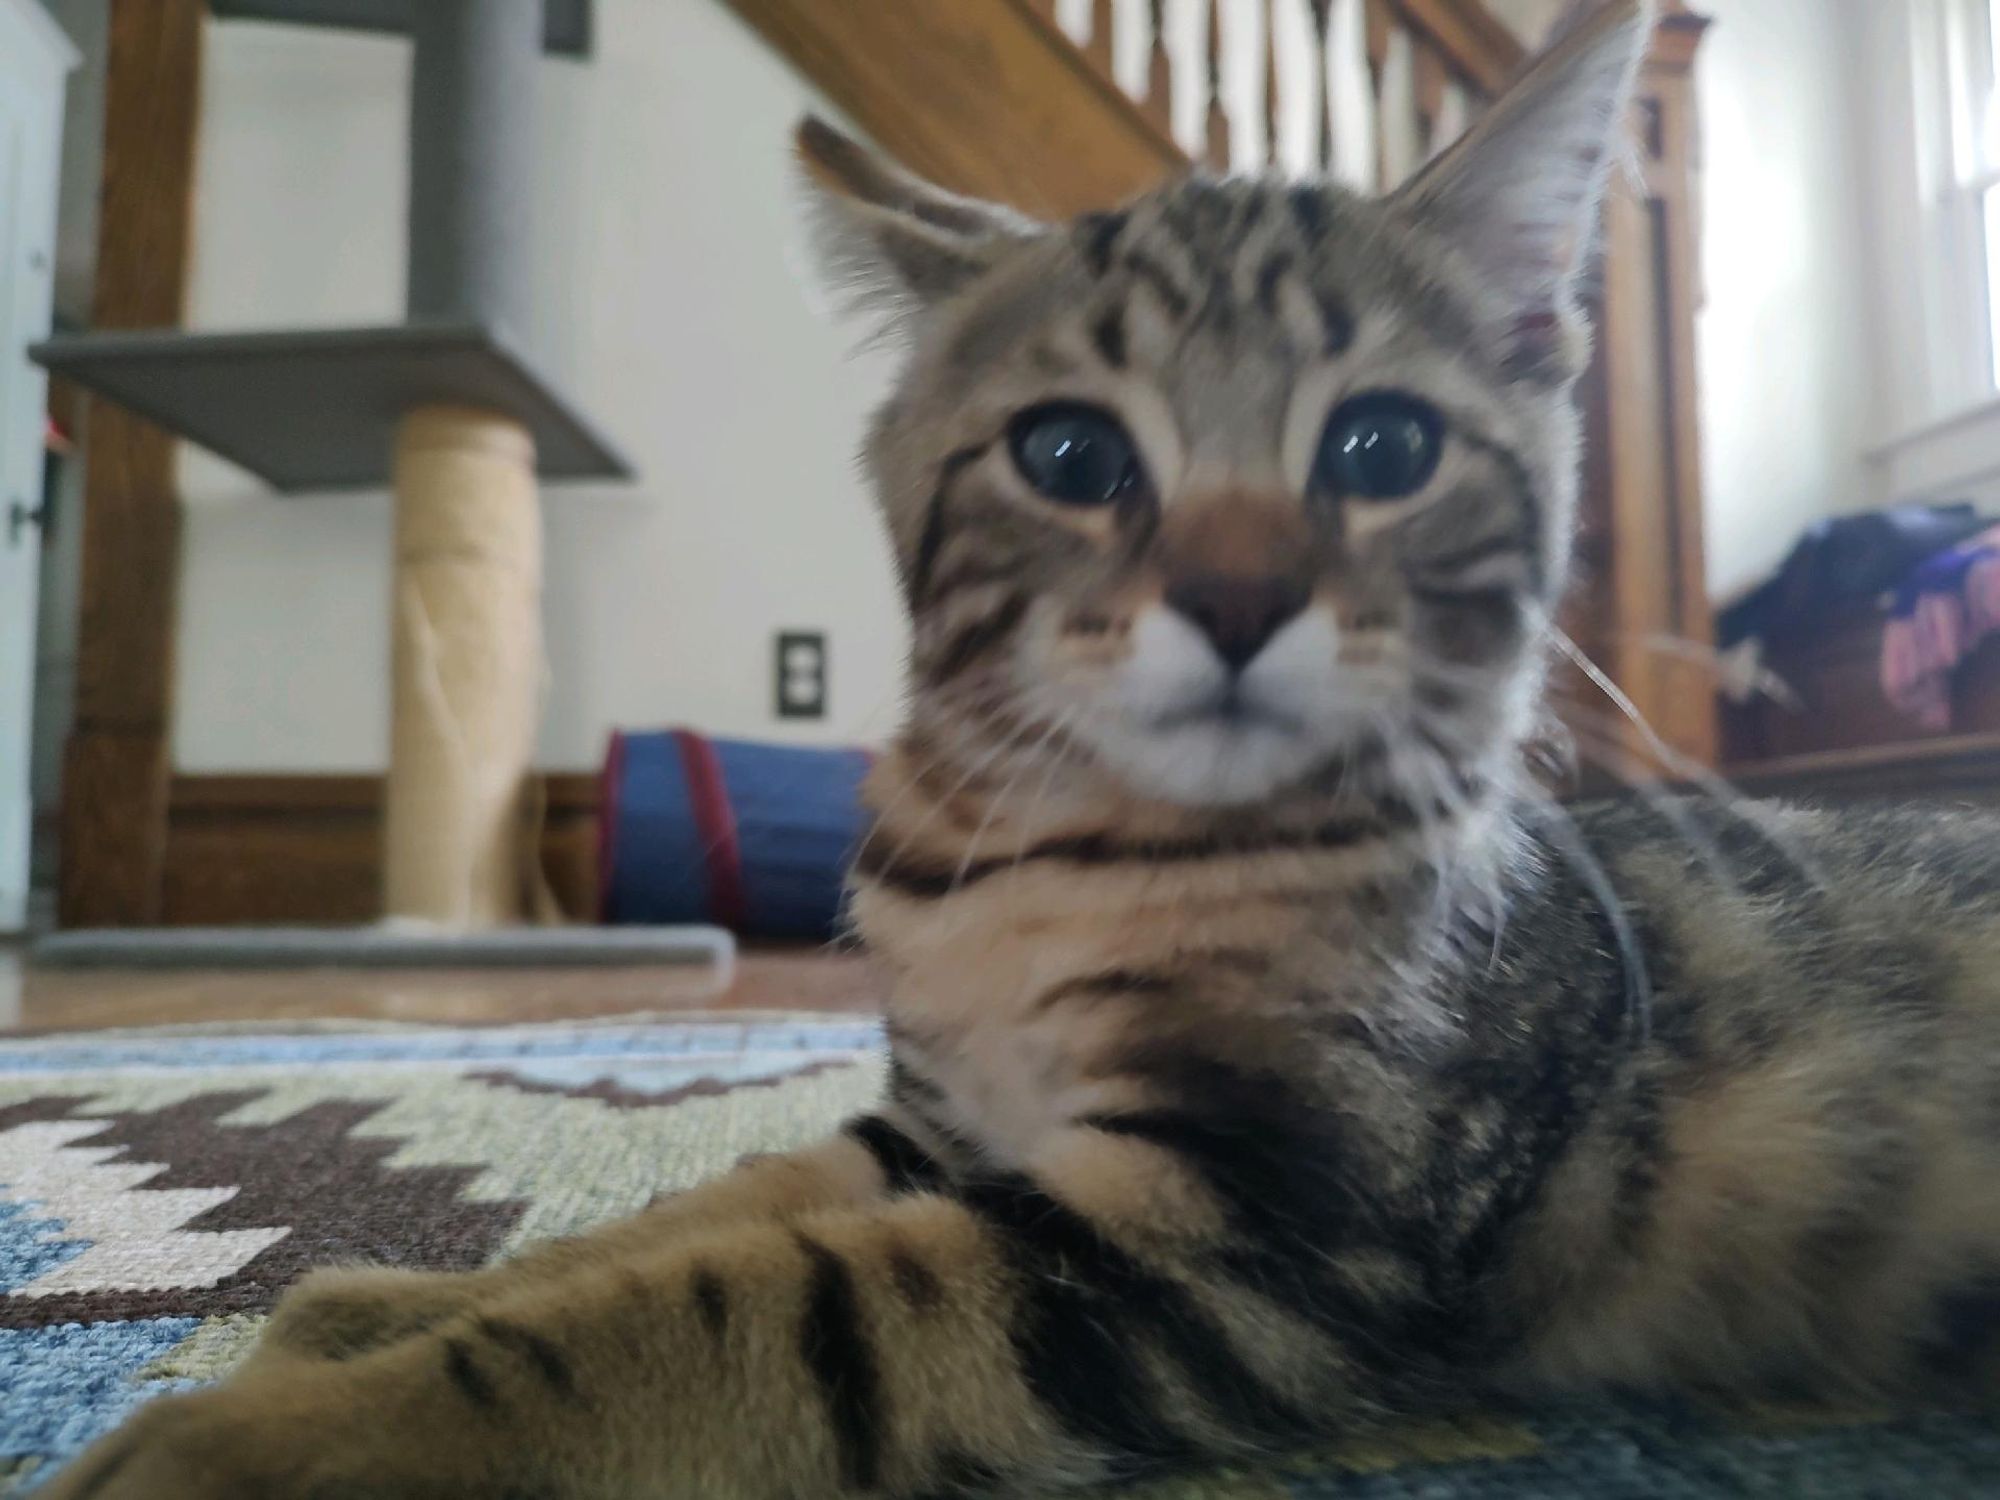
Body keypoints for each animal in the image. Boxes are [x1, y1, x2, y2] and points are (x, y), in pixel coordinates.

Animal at [47, 2, 2000, 1500]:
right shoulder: (936, 1126)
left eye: (1381, 446)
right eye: (1071, 457)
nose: (1236, 599)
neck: (1063, 848)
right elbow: (707, 1206)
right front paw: (380, 1307)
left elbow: (739, 1305)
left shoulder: (1245, 1230)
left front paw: (285, 1437)